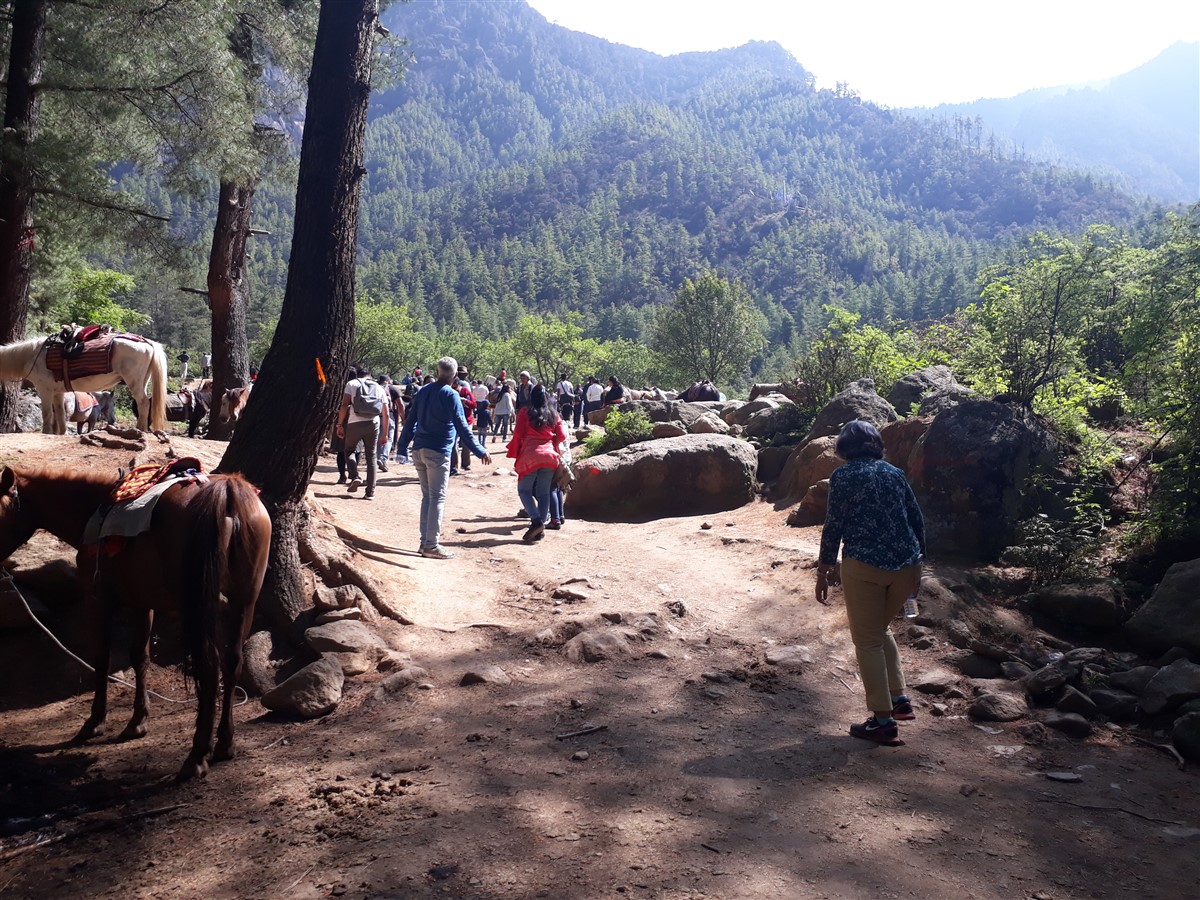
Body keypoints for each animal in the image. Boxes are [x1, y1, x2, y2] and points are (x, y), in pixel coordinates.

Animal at [0, 338, 169, 436]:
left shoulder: (45, 390)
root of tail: (148, 343)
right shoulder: (57, 393)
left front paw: (46, 433)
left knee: (143, 403)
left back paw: (139, 429)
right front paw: (60, 434)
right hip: (143, 381)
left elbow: (47, 415)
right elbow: (60, 415)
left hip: (134, 382)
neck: (34, 355)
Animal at [0, 465, 272, 782]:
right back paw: (225, 744)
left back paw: (196, 757)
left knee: (209, 664)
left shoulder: (99, 598)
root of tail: (227, 493)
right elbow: (140, 657)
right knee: (232, 662)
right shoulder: (143, 603)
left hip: (198, 605)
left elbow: (102, 658)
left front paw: (95, 722)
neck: (92, 508)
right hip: (245, 599)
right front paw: (137, 722)